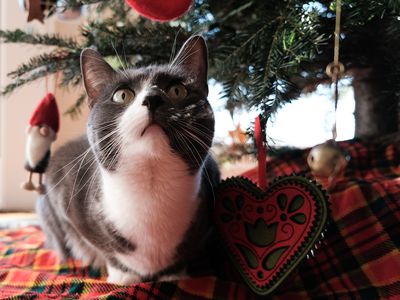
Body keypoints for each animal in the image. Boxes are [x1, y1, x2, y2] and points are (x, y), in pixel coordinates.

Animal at [36, 35, 220, 284]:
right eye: (122, 95)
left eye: (177, 90)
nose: (153, 99)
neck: (151, 187)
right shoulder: (65, 192)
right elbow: (107, 249)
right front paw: (122, 277)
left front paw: (172, 276)